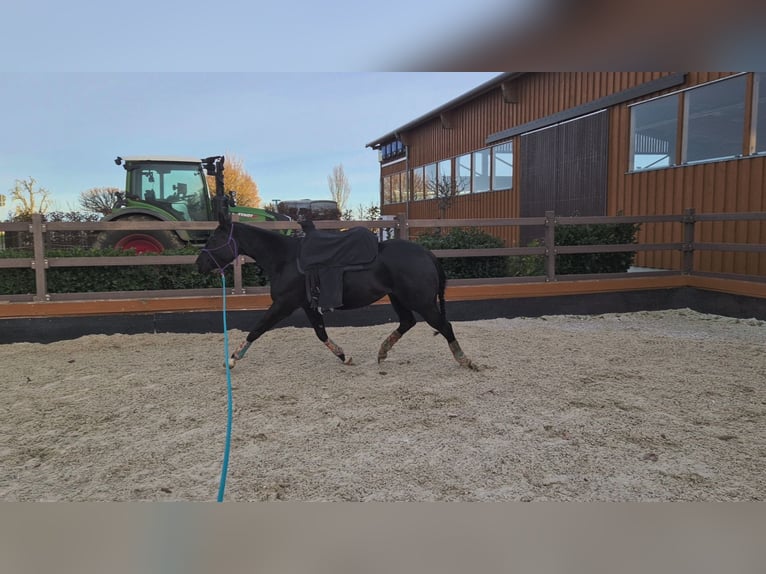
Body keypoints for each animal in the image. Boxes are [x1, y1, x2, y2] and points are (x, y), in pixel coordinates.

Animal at [195, 208, 476, 370]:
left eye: (215, 238)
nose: (198, 264)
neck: (285, 258)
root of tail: (427, 254)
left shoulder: (283, 304)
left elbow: (257, 328)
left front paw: (233, 358)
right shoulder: (307, 305)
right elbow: (321, 333)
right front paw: (344, 356)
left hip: (422, 301)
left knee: (444, 326)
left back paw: (464, 360)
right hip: (399, 297)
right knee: (407, 322)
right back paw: (383, 352)